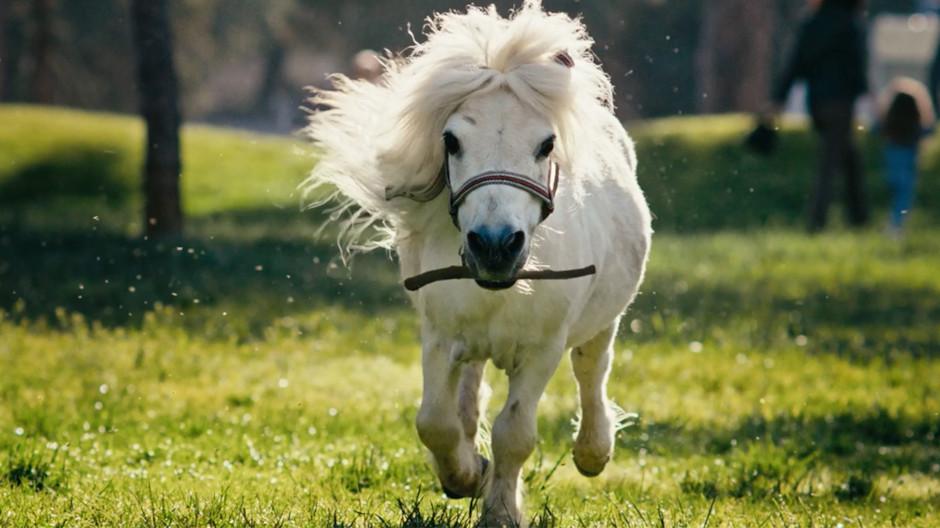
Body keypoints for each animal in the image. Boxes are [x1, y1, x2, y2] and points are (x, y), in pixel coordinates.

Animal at [303, 2, 651, 525]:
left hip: (602, 317)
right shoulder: (439, 335)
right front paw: (466, 475)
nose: (494, 244)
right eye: (450, 141)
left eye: (547, 144)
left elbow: (515, 434)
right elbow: (435, 421)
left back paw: (594, 450)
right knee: (471, 392)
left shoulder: (542, 349)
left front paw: (501, 510)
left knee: (592, 368)